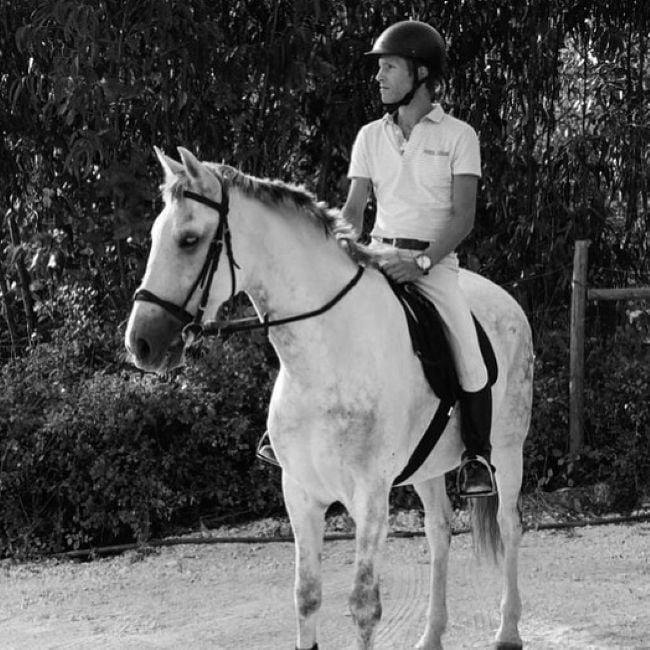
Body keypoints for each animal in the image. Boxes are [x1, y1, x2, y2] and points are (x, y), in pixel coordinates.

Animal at [125, 147, 534, 650]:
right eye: (155, 237)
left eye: (188, 240)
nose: (140, 343)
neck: (324, 356)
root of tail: (504, 299)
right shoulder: (300, 492)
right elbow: (306, 595)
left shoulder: (370, 497)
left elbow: (363, 605)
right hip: (429, 466)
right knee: (439, 532)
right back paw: (431, 635)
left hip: (508, 452)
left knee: (510, 526)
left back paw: (508, 630)